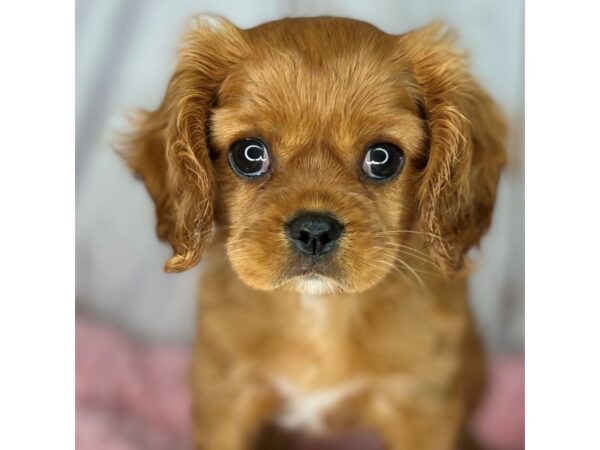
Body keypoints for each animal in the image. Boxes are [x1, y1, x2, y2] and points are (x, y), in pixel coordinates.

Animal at [122, 14, 506, 450]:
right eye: (249, 154)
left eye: (383, 158)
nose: (314, 230)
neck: (318, 309)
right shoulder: (224, 392)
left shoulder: (422, 404)